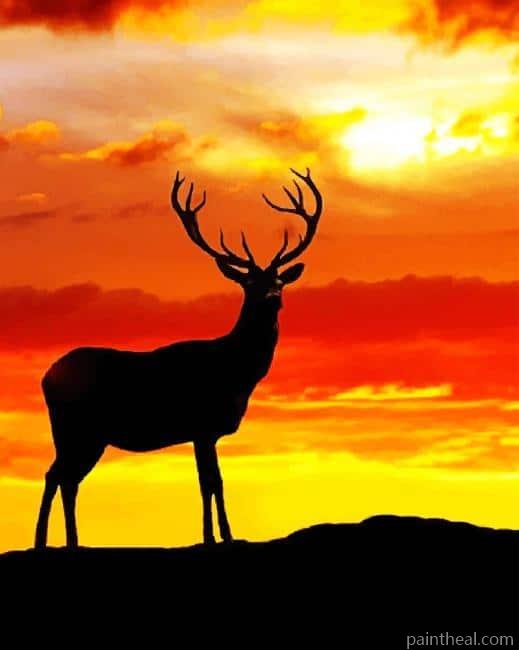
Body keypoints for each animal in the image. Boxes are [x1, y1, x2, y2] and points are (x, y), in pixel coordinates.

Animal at [34, 168, 323, 549]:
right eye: (248, 284)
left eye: (279, 281)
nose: (273, 298)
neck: (235, 372)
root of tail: (46, 377)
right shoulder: (202, 424)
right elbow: (210, 483)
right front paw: (218, 537)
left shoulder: (207, 431)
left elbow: (212, 482)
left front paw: (219, 535)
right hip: (77, 426)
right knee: (58, 475)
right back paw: (48, 540)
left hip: (84, 434)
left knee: (65, 478)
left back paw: (68, 541)